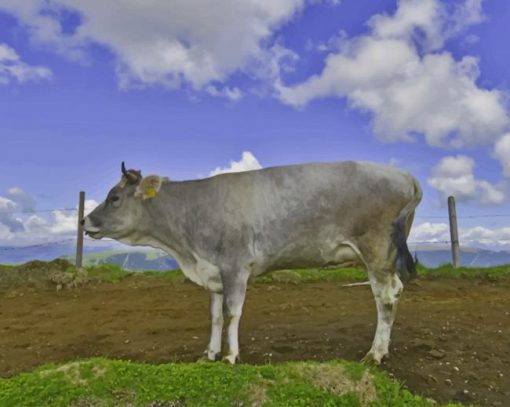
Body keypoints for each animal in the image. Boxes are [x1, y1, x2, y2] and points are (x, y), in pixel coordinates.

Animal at [84, 161, 422, 364]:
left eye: (114, 198)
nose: (85, 221)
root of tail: (404, 175)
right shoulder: (212, 273)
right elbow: (214, 316)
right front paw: (209, 353)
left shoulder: (235, 267)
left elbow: (232, 314)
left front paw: (230, 356)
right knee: (395, 290)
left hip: (376, 251)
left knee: (385, 297)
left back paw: (375, 354)